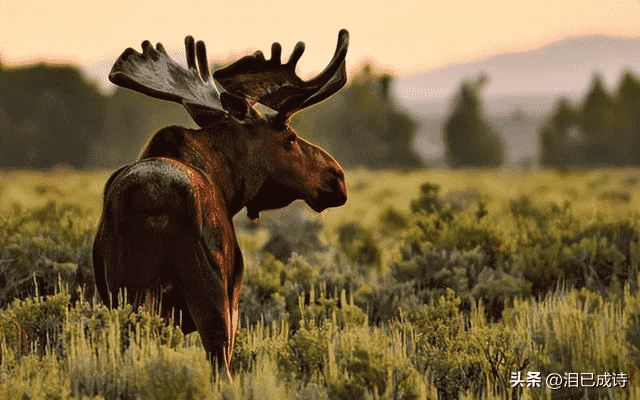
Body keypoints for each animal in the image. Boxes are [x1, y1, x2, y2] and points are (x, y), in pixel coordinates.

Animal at [92, 30, 348, 376]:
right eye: (290, 138)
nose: (337, 177)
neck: (228, 185)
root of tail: (155, 201)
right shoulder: (234, 292)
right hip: (210, 294)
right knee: (220, 365)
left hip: (126, 293)